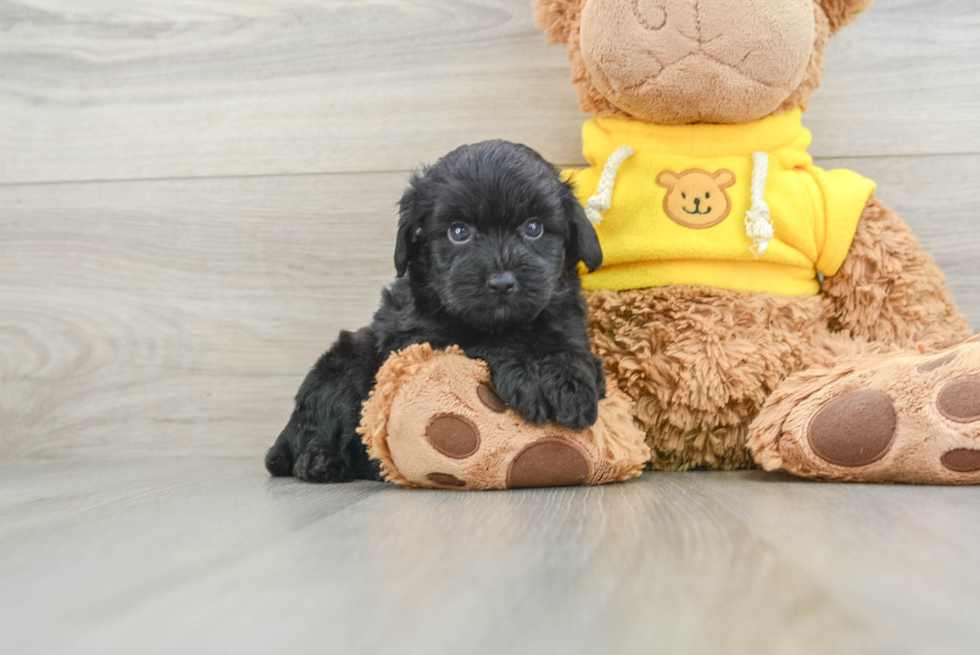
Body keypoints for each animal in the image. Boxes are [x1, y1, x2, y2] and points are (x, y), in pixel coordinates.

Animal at [266, 141, 604, 484]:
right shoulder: (416, 337)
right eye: (458, 232)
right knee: (317, 427)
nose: (501, 283)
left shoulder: (565, 320)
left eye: (534, 228)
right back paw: (320, 461)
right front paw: (527, 374)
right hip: (341, 368)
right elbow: (479, 341)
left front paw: (570, 383)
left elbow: (567, 348)